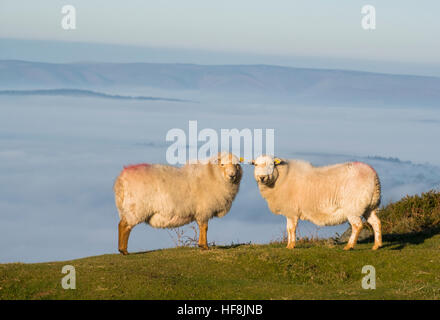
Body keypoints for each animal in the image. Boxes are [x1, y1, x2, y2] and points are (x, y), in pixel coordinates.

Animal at [113, 152, 242, 255]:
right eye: (222, 164)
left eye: (237, 165)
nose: (232, 175)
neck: (213, 175)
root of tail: (122, 178)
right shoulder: (204, 210)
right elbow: (204, 227)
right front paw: (204, 246)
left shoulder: (201, 211)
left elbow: (202, 227)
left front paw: (201, 245)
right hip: (136, 207)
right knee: (124, 225)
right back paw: (123, 250)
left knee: (121, 224)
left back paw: (121, 249)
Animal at [251, 156, 382, 251]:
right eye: (255, 164)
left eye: (271, 164)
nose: (262, 177)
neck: (282, 177)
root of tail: (373, 174)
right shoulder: (290, 212)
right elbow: (288, 229)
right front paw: (289, 245)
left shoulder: (292, 211)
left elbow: (291, 228)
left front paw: (291, 245)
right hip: (369, 206)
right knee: (376, 222)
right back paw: (377, 245)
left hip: (353, 206)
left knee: (357, 225)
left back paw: (349, 246)